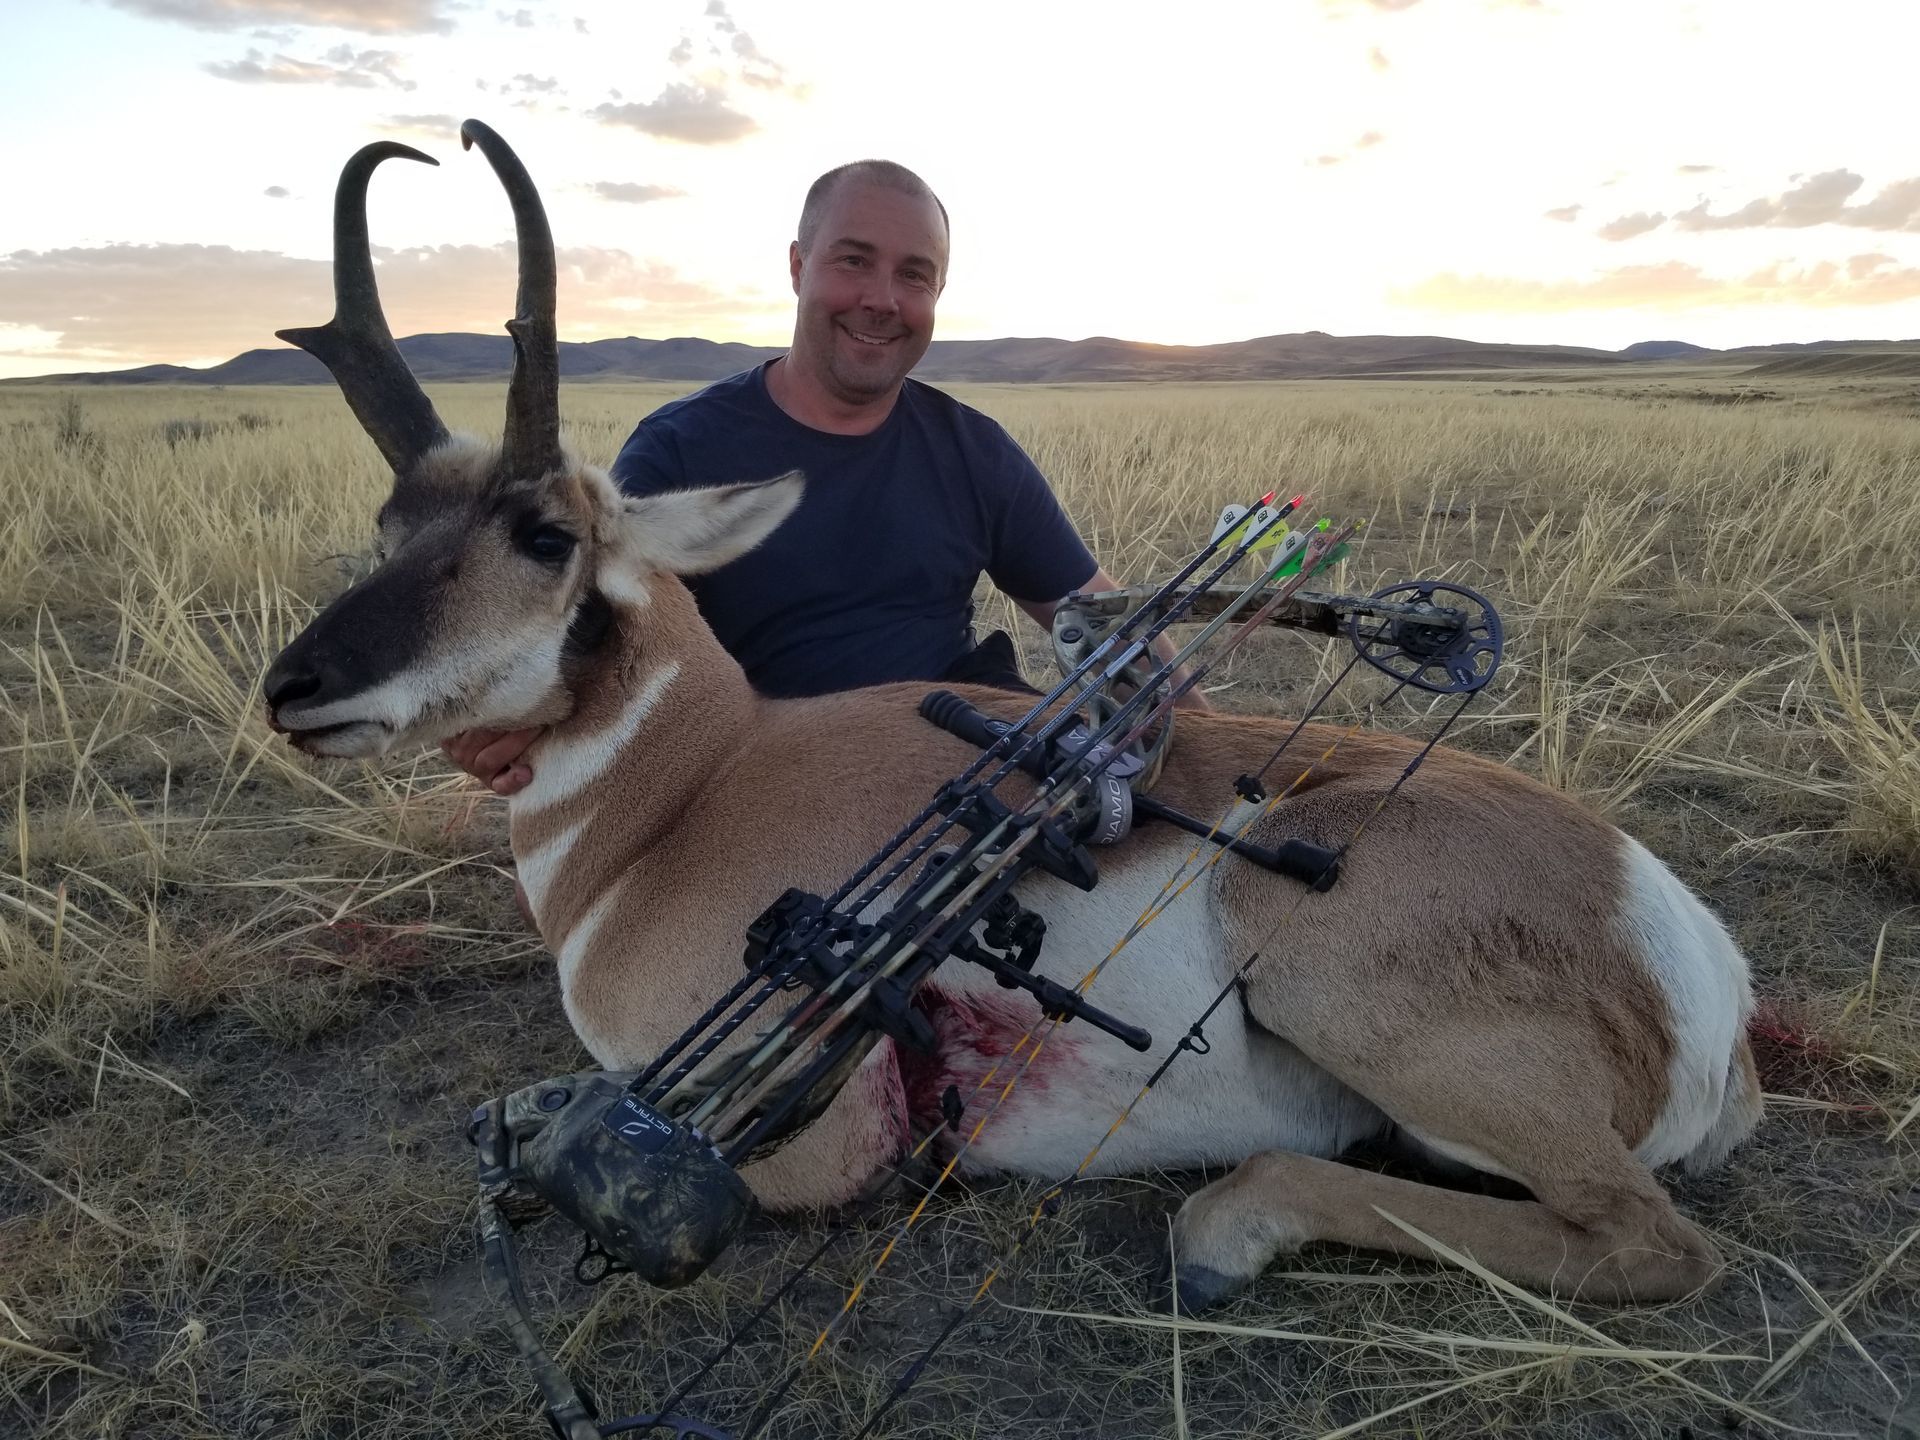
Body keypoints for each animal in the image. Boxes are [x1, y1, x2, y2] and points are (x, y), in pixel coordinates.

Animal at [264, 121, 1761, 1313]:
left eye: (543, 532)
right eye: (392, 523)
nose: (296, 690)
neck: (688, 793)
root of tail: (1686, 948)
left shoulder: (785, 1137)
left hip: (1322, 962)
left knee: (1648, 1241)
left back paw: (1224, 1230)